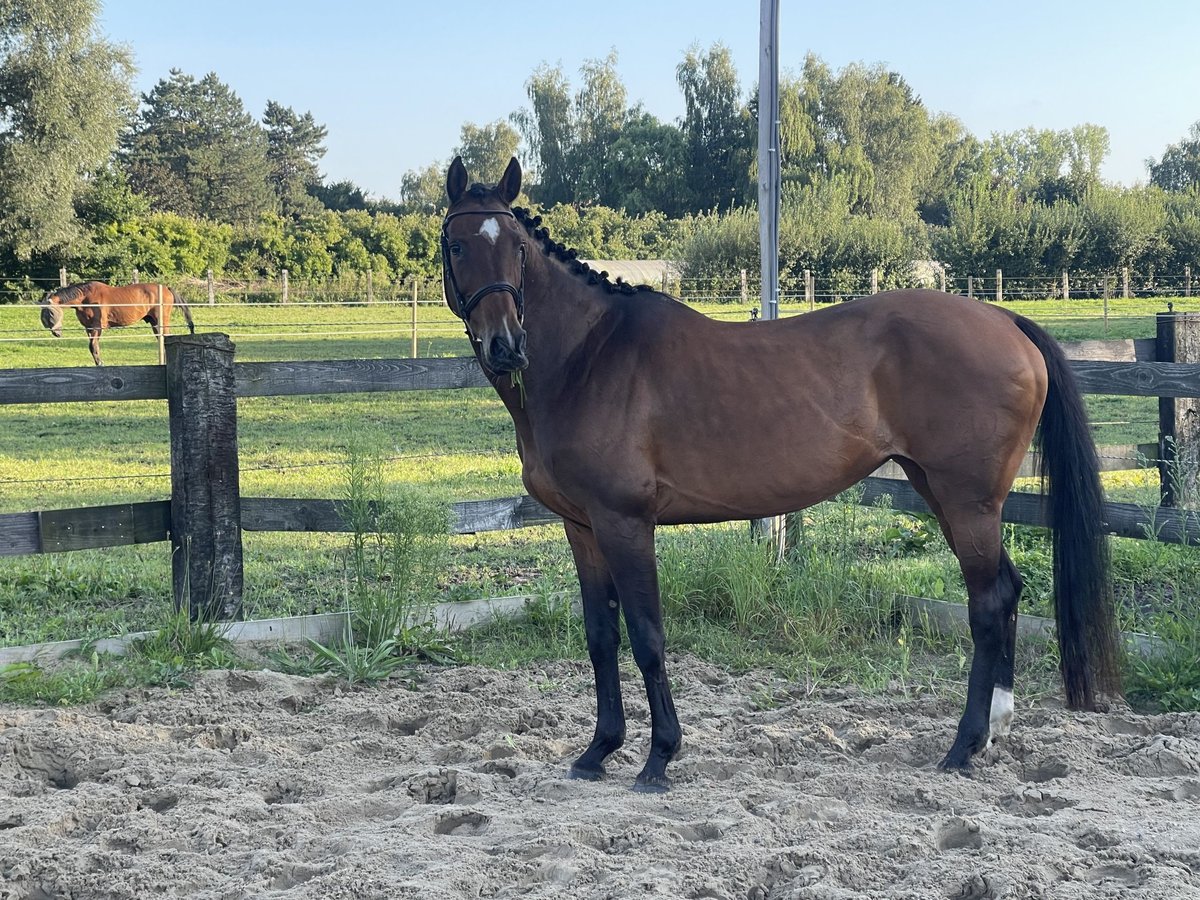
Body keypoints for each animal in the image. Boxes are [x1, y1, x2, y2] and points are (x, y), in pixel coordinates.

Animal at [39, 282, 195, 367]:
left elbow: (93, 346)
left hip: (161, 322)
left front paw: (100, 364)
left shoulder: (97, 328)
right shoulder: (89, 328)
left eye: (51, 313)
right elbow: (93, 347)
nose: (56, 333)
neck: (85, 298)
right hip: (154, 324)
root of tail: (167, 288)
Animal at [444, 158, 1123, 792]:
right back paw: (991, 734)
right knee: (1006, 590)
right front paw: (597, 751)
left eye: (517, 247)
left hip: (966, 502)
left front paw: (659, 756)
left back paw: (962, 746)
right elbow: (600, 636)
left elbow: (647, 635)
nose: (506, 345)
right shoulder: (582, 527)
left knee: (987, 603)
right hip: (942, 493)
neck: (589, 357)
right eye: (456, 245)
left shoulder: (626, 523)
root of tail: (1006, 321)